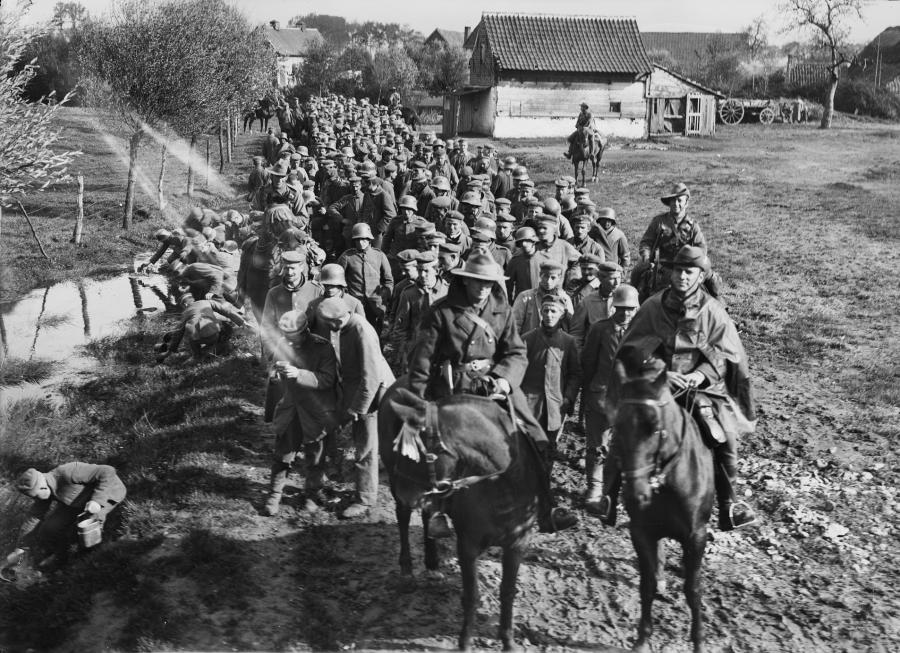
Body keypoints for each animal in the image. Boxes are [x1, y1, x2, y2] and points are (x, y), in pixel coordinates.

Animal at [380, 382, 540, 652]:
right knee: (403, 519)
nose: (403, 492)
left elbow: (508, 591)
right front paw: (465, 642)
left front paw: (508, 641)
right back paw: (407, 569)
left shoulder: (518, 543)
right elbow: (471, 594)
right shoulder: (468, 544)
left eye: (414, 454)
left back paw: (432, 564)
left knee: (427, 514)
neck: (501, 486)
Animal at [608, 352, 712, 652]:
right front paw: (642, 640)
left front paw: (699, 641)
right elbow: (647, 584)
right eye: (617, 427)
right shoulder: (641, 532)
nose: (636, 494)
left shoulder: (696, 536)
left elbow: (693, 589)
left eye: (654, 427)